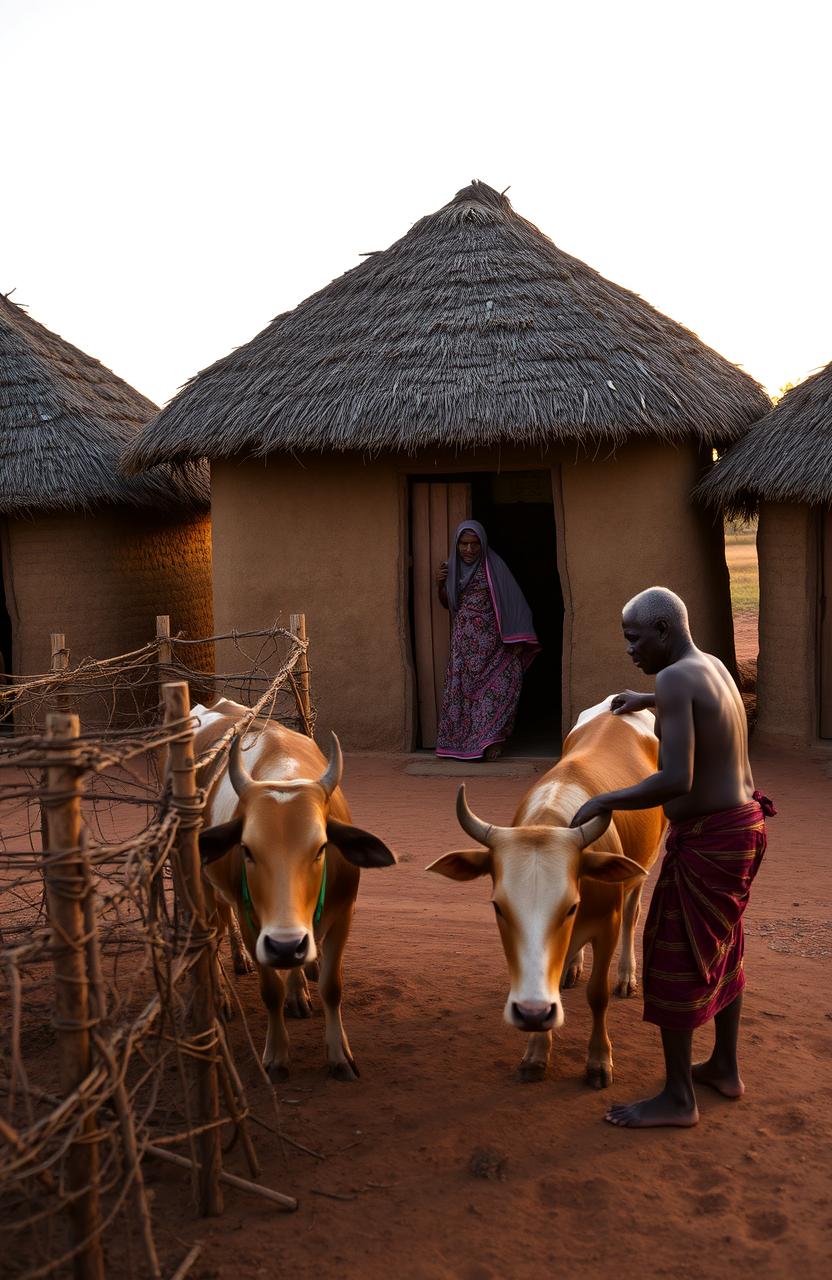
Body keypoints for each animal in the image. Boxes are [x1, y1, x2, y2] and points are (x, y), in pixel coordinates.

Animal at [197, 701, 399, 1080]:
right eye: (247, 849)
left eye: (321, 848)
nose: (285, 944)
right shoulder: (255, 924)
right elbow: (270, 992)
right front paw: (276, 1055)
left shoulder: (343, 913)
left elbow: (331, 987)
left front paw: (339, 1054)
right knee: (209, 936)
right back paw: (220, 997)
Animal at [424, 696, 665, 1085]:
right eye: (499, 907)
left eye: (571, 906)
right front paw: (536, 1053)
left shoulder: (607, 925)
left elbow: (598, 995)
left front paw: (599, 1061)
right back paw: (571, 968)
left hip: (646, 863)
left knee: (633, 912)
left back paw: (626, 976)